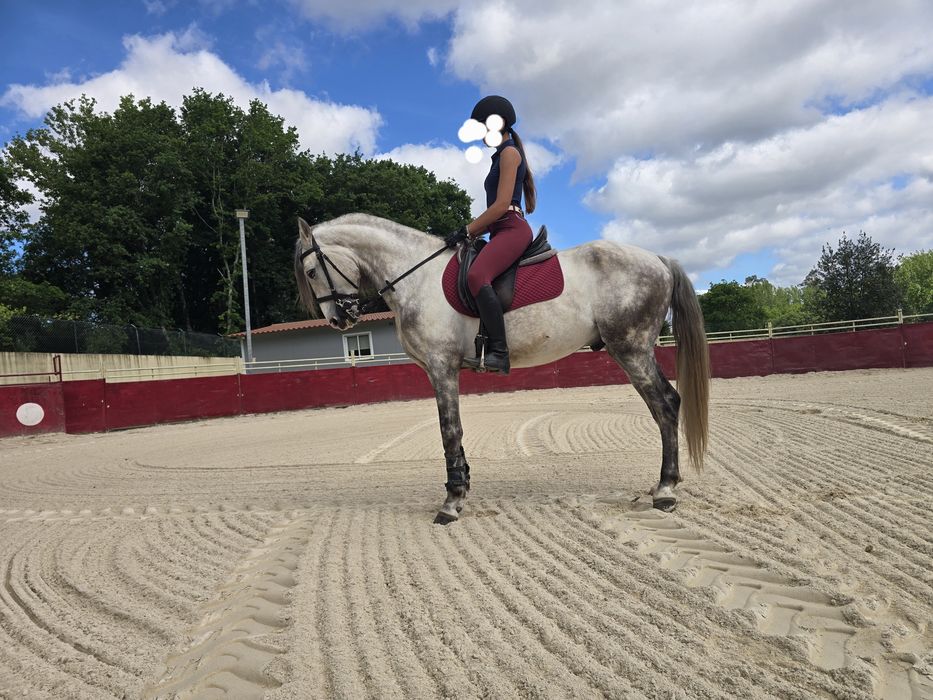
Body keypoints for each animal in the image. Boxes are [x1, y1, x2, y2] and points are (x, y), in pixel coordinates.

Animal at [294, 213, 709, 524]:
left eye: (312, 271)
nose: (339, 319)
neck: (416, 276)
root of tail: (658, 260)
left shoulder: (441, 367)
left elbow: (449, 431)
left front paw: (451, 503)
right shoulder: (441, 371)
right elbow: (454, 432)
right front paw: (461, 488)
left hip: (632, 350)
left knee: (666, 405)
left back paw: (666, 490)